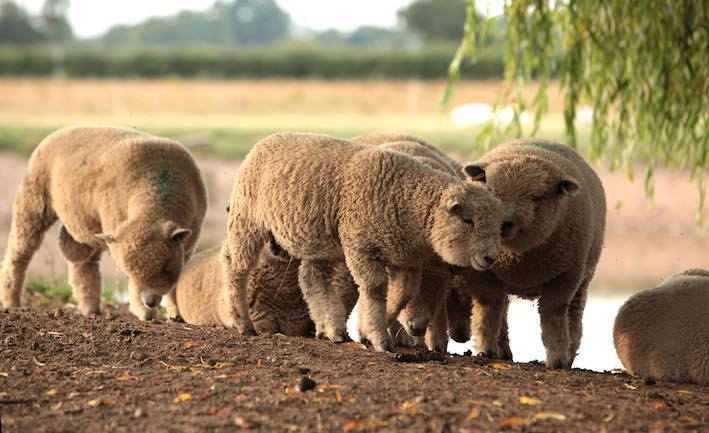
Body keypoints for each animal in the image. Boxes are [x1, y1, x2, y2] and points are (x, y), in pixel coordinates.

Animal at [0, 126, 207, 321]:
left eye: (165, 266)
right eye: (128, 272)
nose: (149, 301)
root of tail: (59, 130)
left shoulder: (187, 246)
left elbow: (177, 281)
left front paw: (176, 313)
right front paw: (143, 312)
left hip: (83, 223)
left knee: (81, 261)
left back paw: (91, 309)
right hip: (33, 200)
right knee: (19, 252)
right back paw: (12, 302)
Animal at [224, 132, 504, 351]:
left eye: (498, 225)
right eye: (467, 220)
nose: (490, 257)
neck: (408, 200)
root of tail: (266, 139)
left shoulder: (405, 260)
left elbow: (401, 294)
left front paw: (372, 328)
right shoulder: (360, 246)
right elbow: (375, 288)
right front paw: (378, 337)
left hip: (318, 243)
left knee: (311, 279)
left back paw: (332, 328)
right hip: (246, 218)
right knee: (236, 266)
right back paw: (243, 323)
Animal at [460, 139, 606, 368]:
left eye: (538, 197)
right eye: (490, 190)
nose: (503, 223)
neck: (517, 259)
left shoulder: (564, 278)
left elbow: (553, 316)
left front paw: (557, 360)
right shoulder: (483, 274)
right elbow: (488, 309)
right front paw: (486, 351)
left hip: (583, 278)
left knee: (574, 315)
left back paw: (569, 356)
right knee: (502, 309)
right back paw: (503, 352)